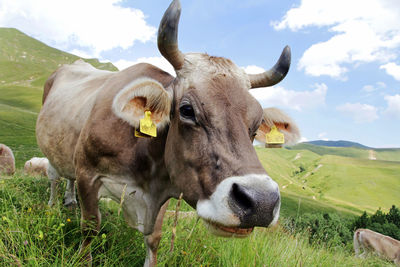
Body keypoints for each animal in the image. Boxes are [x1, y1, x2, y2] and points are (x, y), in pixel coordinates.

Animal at [36, 1, 300, 266]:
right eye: (186, 110)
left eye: (256, 125)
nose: (261, 203)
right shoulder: (88, 173)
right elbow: (90, 227)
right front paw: (83, 259)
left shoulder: (166, 188)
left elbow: (154, 238)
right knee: (54, 175)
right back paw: (52, 206)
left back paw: (70, 201)